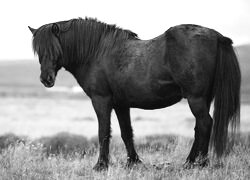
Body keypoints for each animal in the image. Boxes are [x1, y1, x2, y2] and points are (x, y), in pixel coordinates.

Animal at [28, 17, 240, 171]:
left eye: (54, 47)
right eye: (38, 50)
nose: (46, 79)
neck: (97, 53)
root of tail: (217, 36)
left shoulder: (101, 100)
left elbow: (103, 132)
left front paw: (100, 166)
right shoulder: (121, 104)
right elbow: (126, 132)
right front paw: (133, 162)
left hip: (196, 99)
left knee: (205, 124)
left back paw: (200, 164)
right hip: (204, 99)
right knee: (199, 127)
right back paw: (189, 162)